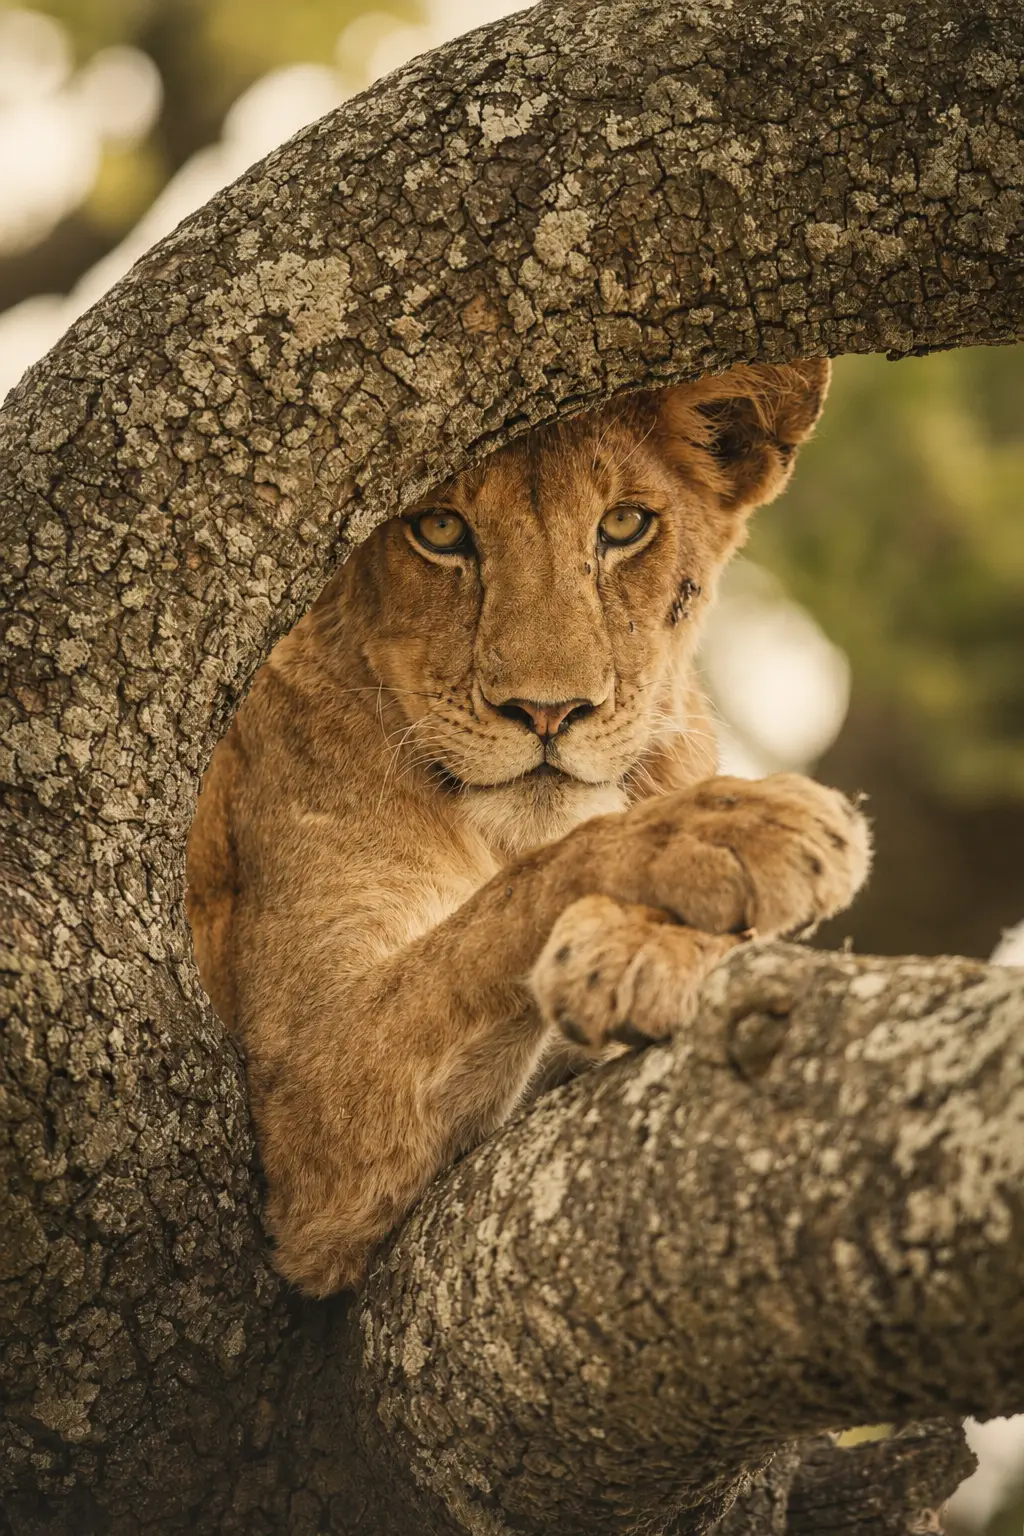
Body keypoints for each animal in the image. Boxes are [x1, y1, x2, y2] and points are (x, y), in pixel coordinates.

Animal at [185, 359, 871, 1297]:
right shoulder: (301, 1097)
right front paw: (736, 830)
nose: (548, 711)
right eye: (439, 528)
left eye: (623, 526)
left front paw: (649, 948)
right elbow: (512, 897)